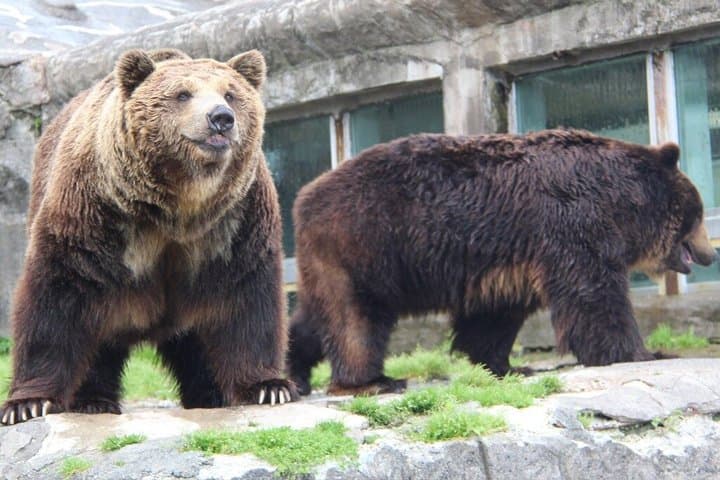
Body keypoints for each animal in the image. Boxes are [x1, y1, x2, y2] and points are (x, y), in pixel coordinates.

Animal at [0, 47, 298, 426]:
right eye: (183, 94)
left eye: (230, 93)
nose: (221, 118)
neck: (176, 208)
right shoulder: (93, 215)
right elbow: (56, 296)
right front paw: (28, 403)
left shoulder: (233, 225)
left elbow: (246, 298)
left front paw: (268, 386)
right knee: (97, 337)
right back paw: (93, 400)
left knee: (196, 343)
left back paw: (210, 394)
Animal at [286, 130, 719, 396]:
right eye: (697, 214)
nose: (710, 253)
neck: (622, 206)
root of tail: (305, 196)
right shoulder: (573, 225)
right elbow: (594, 297)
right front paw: (644, 352)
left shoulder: (508, 258)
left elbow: (493, 317)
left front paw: (508, 365)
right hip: (364, 243)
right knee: (355, 319)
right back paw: (373, 380)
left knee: (314, 317)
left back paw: (294, 372)